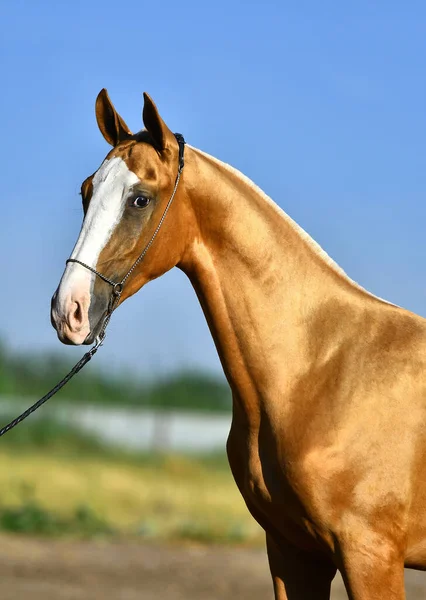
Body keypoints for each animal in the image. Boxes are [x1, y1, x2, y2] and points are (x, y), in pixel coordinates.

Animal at [50, 89, 426, 600]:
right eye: (86, 191)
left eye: (140, 199)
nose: (68, 310)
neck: (322, 369)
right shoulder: (293, 552)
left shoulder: (370, 557)